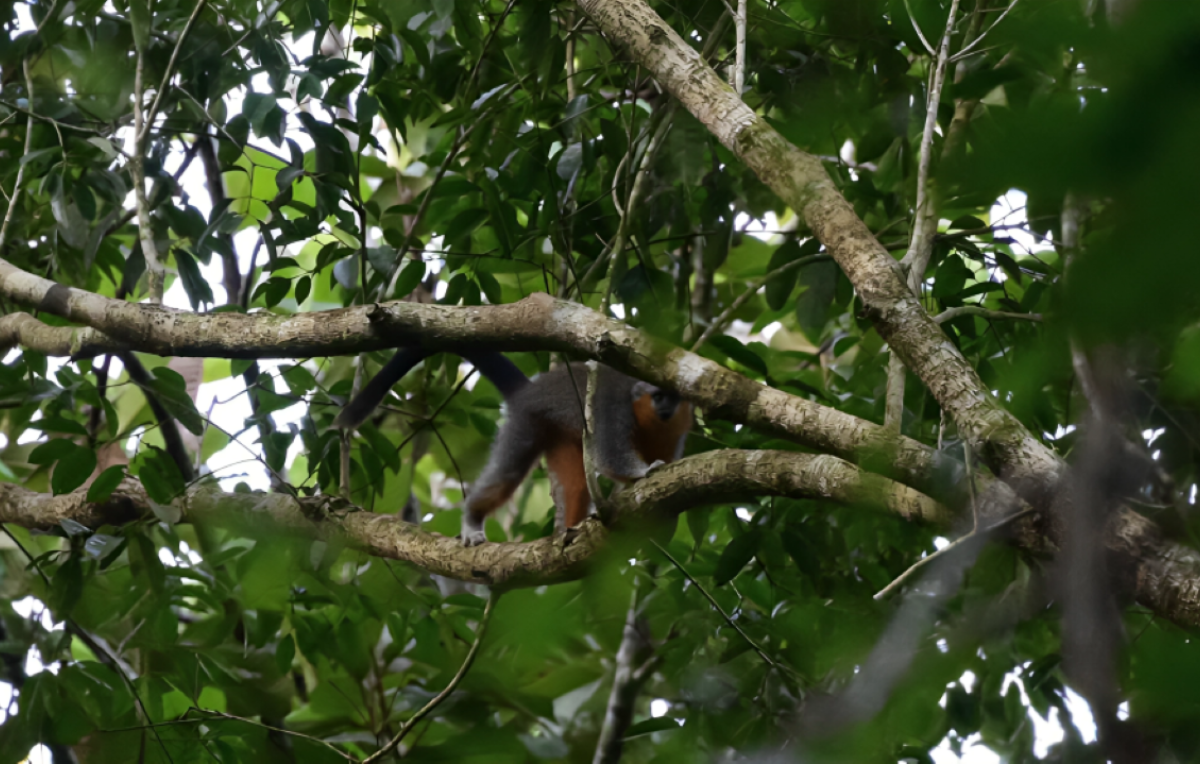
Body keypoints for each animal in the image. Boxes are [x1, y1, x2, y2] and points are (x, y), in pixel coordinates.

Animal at [334, 349, 692, 546]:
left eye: (673, 398)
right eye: (658, 396)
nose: (666, 408)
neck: (646, 416)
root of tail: (530, 391)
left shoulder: (674, 432)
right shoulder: (611, 407)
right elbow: (611, 456)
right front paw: (644, 472)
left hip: (559, 436)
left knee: (577, 485)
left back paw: (571, 530)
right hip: (527, 422)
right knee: (506, 475)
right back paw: (472, 518)